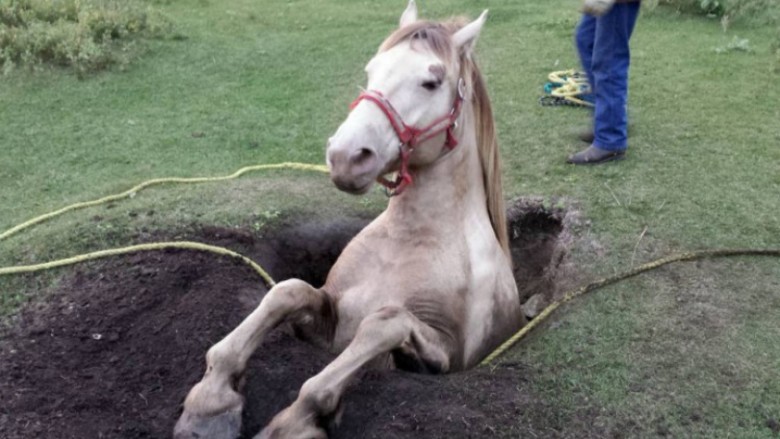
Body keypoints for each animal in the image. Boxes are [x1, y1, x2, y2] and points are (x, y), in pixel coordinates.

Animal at [174, 1, 528, 438]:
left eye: (432, 82)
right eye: (372, 70)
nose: (346, 156)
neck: (411, 241)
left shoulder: (445, 354)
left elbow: (383, 325)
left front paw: (295, 422)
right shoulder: (328, 320)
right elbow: (286, 292)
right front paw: (210, 403)